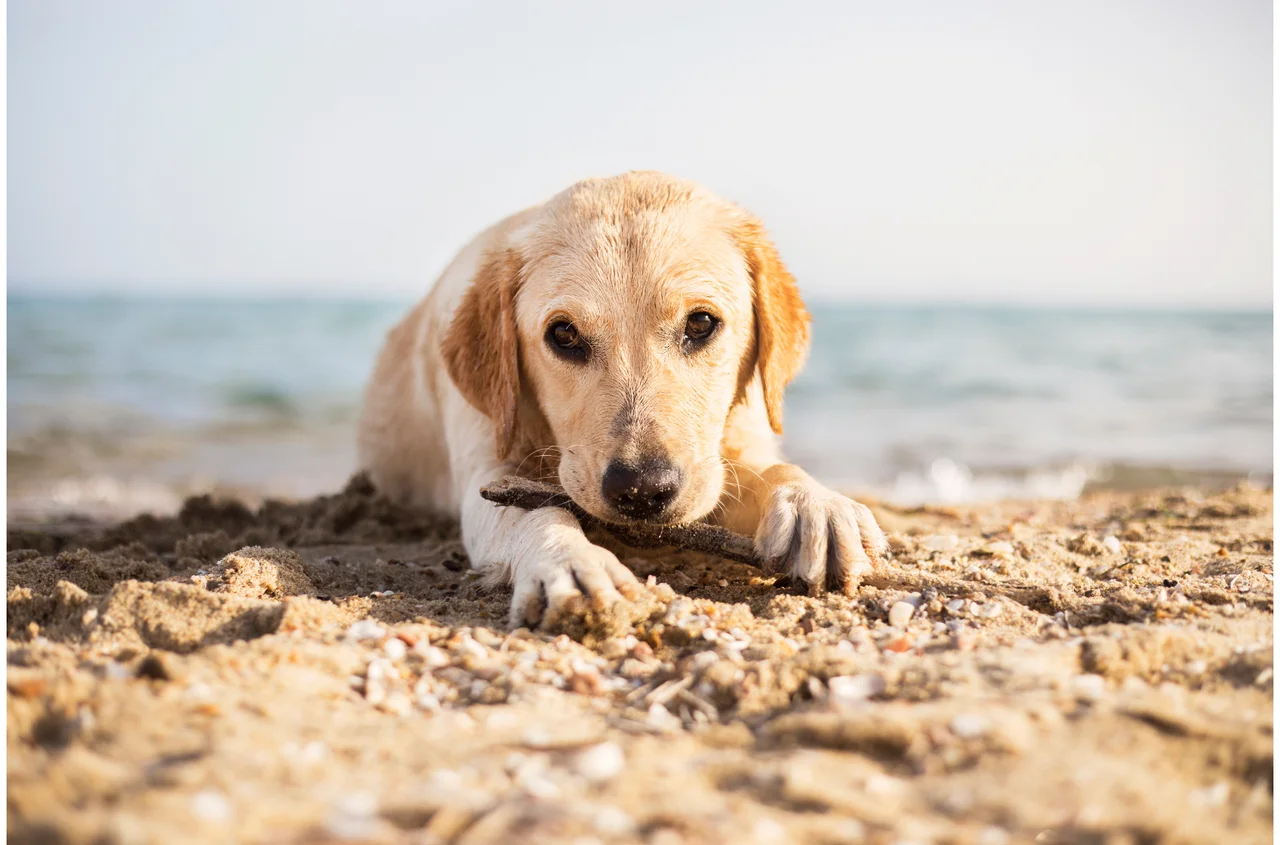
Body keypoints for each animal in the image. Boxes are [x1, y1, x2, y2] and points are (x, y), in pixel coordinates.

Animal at [355, 170, 885, 627]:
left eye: (701, 323)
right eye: (564, 334)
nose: (642, 490)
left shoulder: (736, 445)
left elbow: (773, 469)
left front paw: (814, 505)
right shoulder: (486, 472)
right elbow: (537, 512)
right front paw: (569, 561)